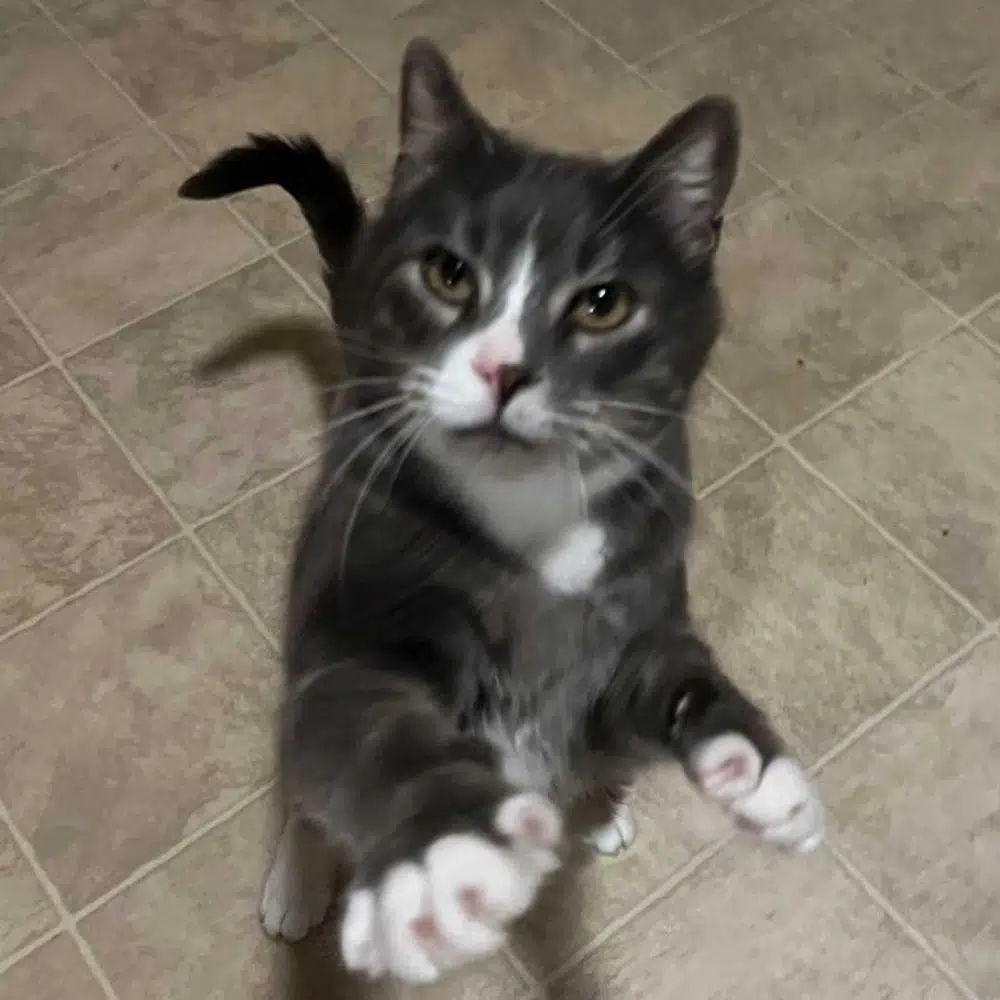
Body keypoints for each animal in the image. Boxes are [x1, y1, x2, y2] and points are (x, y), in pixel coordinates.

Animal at [180, 38, 824, 986]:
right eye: (448, 274)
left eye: (604, 303)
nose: (503, 370)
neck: (533, 528)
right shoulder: (362, 609)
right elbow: (361, 728)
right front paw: (439, 858)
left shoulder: (641, 589)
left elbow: (667, 675)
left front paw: (749, 763)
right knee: (301, 775)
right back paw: (297, 881)